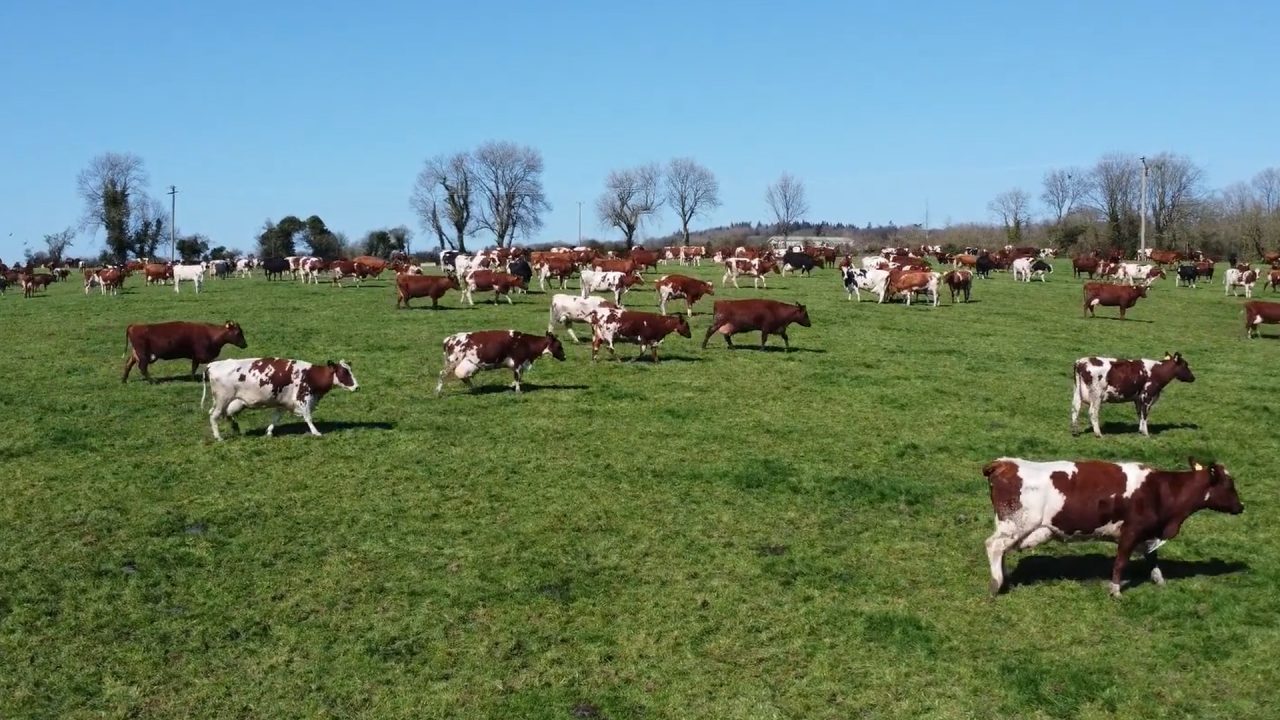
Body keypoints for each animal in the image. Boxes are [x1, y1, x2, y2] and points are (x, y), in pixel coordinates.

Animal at [203, 357, 358, 441]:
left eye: (350, 371)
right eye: (344, 372)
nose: (357, 387)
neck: (311, 375)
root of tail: (213, 364)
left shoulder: (283, 403)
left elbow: (275, 419)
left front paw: (269, 432)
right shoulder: (303, 399)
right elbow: (308, 418)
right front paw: (316, 432)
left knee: (225, 415)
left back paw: (235, 429)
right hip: (223, 399)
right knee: (214, 416)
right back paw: (219, 437)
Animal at [435, 330, 565, 395]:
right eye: (559, 345)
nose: (565, 357)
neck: (526, 343)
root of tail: (449, 339)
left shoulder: (520, 365)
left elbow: (519, 377)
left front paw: (512, 386)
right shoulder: (517, 363)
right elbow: (517, 377)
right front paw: (518, 391)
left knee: (464, 377)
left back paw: (476, 389)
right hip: (453, 362)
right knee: (442, 373)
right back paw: (437, 391)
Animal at [983, 457, 1243, 597]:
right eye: (1229, 485)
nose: (1241, 507)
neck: (1160, 490)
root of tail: (1005, 463)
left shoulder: (1148, 533)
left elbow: (1153, 559)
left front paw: (1159, 580)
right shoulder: (1131, 531)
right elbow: (1120, 562)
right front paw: (1115, 590)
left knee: (1001, 550)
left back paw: (1004, 579)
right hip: (1016, 525)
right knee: (993, 546)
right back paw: (996, 584)